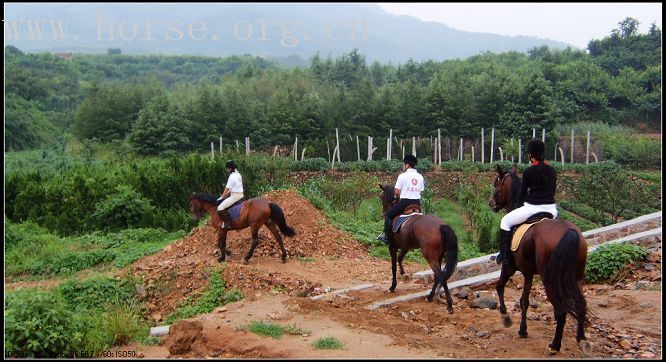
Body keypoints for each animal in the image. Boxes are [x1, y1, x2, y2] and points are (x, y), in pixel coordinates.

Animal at [486, 165, 588, 354]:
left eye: (496, 186)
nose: (492, 204)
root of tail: (569, 231)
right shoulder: (528, 273)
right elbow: (524, 301)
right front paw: (522, 330)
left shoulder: (509, 266)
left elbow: (499, 287)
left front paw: (506, 317)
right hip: (576, 277)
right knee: (581, 303)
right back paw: (581, 339)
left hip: (550, 279)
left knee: (560, 310)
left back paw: (555, 345)